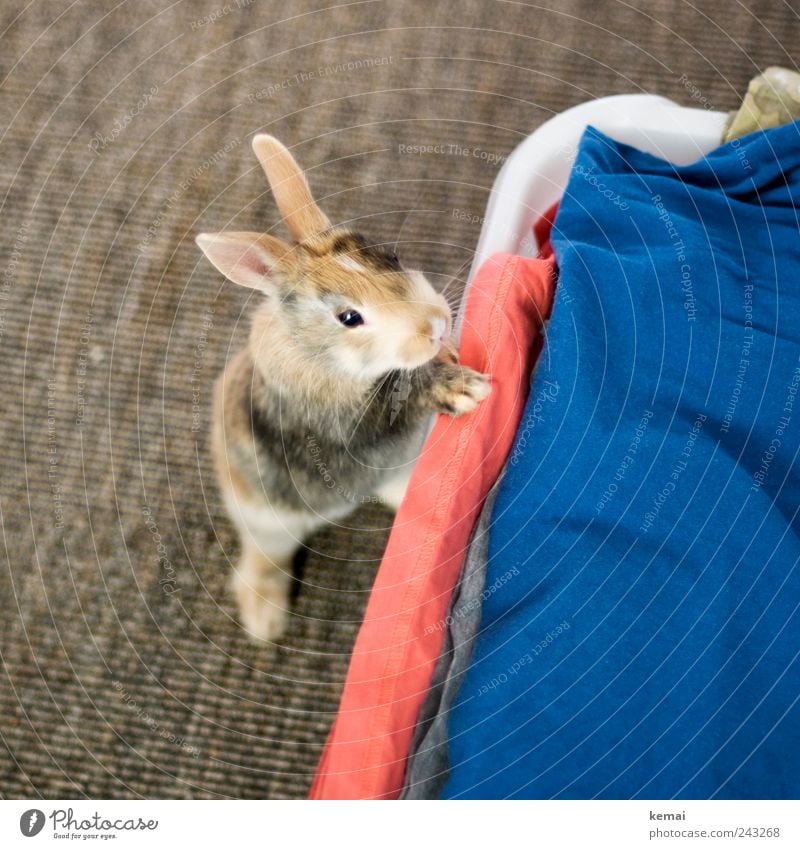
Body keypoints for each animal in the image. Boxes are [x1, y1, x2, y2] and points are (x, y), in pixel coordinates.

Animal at [197, 136, 490, 640]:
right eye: (349, 317)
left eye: (391, 257)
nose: (436, 325)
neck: (325, 355)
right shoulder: (350, 426)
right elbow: (403, 401)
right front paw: (463, 389)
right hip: (265, 519)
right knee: (263, 558)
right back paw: (264, 622)